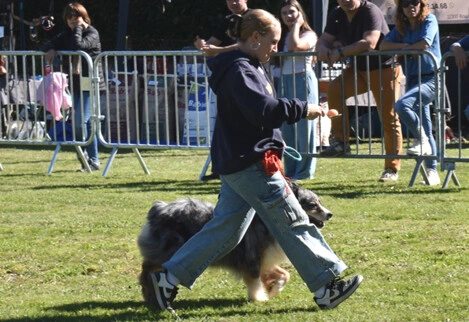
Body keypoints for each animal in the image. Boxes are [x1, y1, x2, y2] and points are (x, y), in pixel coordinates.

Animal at [137, 182, 330, 304]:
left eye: (320, 202)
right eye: (313, 205)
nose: (330, 214)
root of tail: (159, 208)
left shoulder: (265, 260)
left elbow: (284, 274)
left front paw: (274, 288)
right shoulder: (252, 260)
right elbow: (254, 282)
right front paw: (259, 298)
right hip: (170, 250)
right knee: (148, 266)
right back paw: (149, 287)